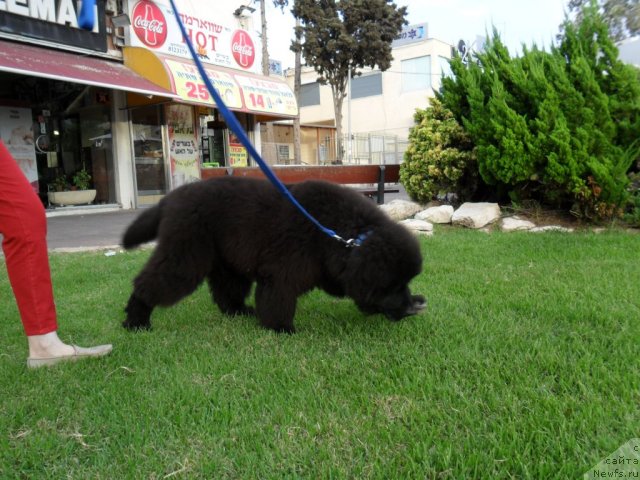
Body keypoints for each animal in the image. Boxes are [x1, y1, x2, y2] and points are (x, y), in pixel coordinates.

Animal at [123, 177, 428, 334]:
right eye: (392, 285)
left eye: (405, 283)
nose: (410, 307)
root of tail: (171, 197)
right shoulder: (283, 273)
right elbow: (278, 301)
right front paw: (281, 329)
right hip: (185, 252)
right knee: (151, 283)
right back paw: (136, 320)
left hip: (227, 260)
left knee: (226, 291)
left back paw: (239, 311)